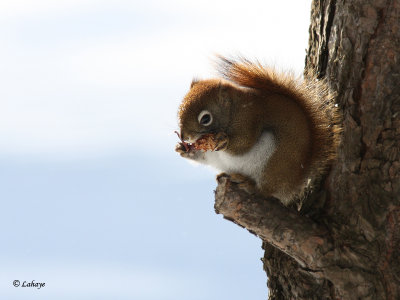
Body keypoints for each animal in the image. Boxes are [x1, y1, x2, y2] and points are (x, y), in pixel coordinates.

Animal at [175, 56, 340, 204]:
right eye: (180, 110)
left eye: (205, 119)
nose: (184, 136)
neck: (233, 110)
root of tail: (293, 183)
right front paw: (183, 149)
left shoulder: (250, 117)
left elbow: (244, 143)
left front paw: (222, 140)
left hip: (274, 163)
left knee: (266, 191)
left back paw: (250, 185)